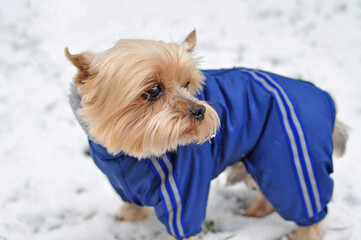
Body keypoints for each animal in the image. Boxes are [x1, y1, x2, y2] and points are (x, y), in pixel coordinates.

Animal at [65, 30, 346, 240]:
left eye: (187, 84)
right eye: (153, 90)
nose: (199, 110)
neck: (129, 155)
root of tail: (326, 98)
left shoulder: (184, 188)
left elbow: (184, 223)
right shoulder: (123, 183)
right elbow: (131, 204)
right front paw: (128, 218)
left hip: (291, 160)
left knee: (307, 205)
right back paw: (257, 210)